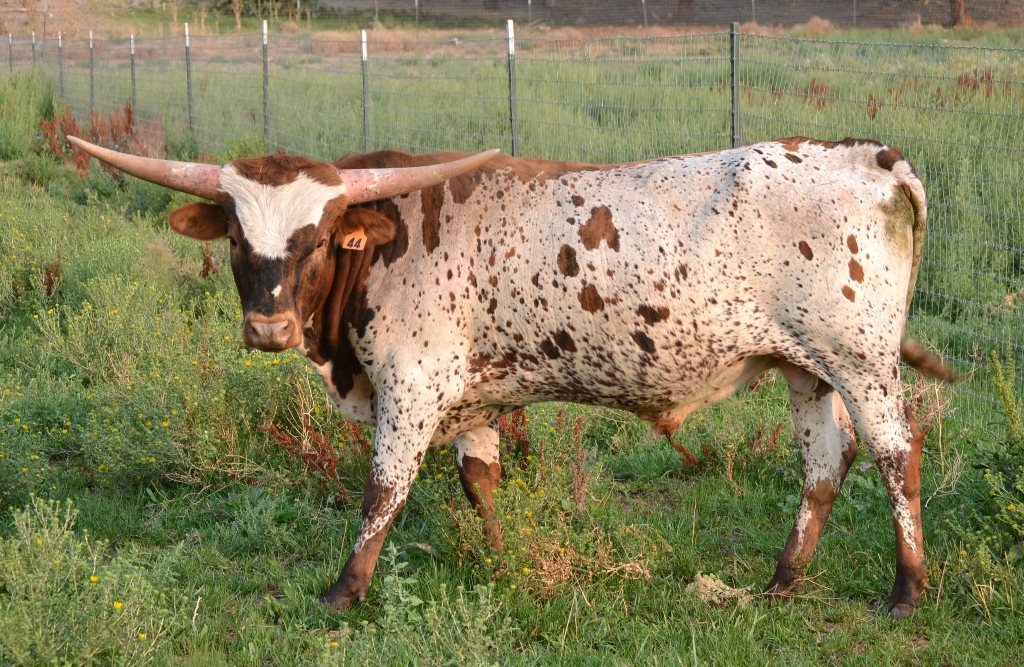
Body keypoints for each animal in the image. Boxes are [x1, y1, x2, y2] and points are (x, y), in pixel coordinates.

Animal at [68, 134, 952, 619]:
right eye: (237, 240)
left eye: (317, 239)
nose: (268, 328)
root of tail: (870, 156)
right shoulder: (470, 399)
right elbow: (480, 479)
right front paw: (496, 559)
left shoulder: (412, 385)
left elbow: (382, 490)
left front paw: (344, 590)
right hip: (806, 368)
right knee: (824, 464)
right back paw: (780, 581)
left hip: (859, 360)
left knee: (894, 453)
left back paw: (907, 589)